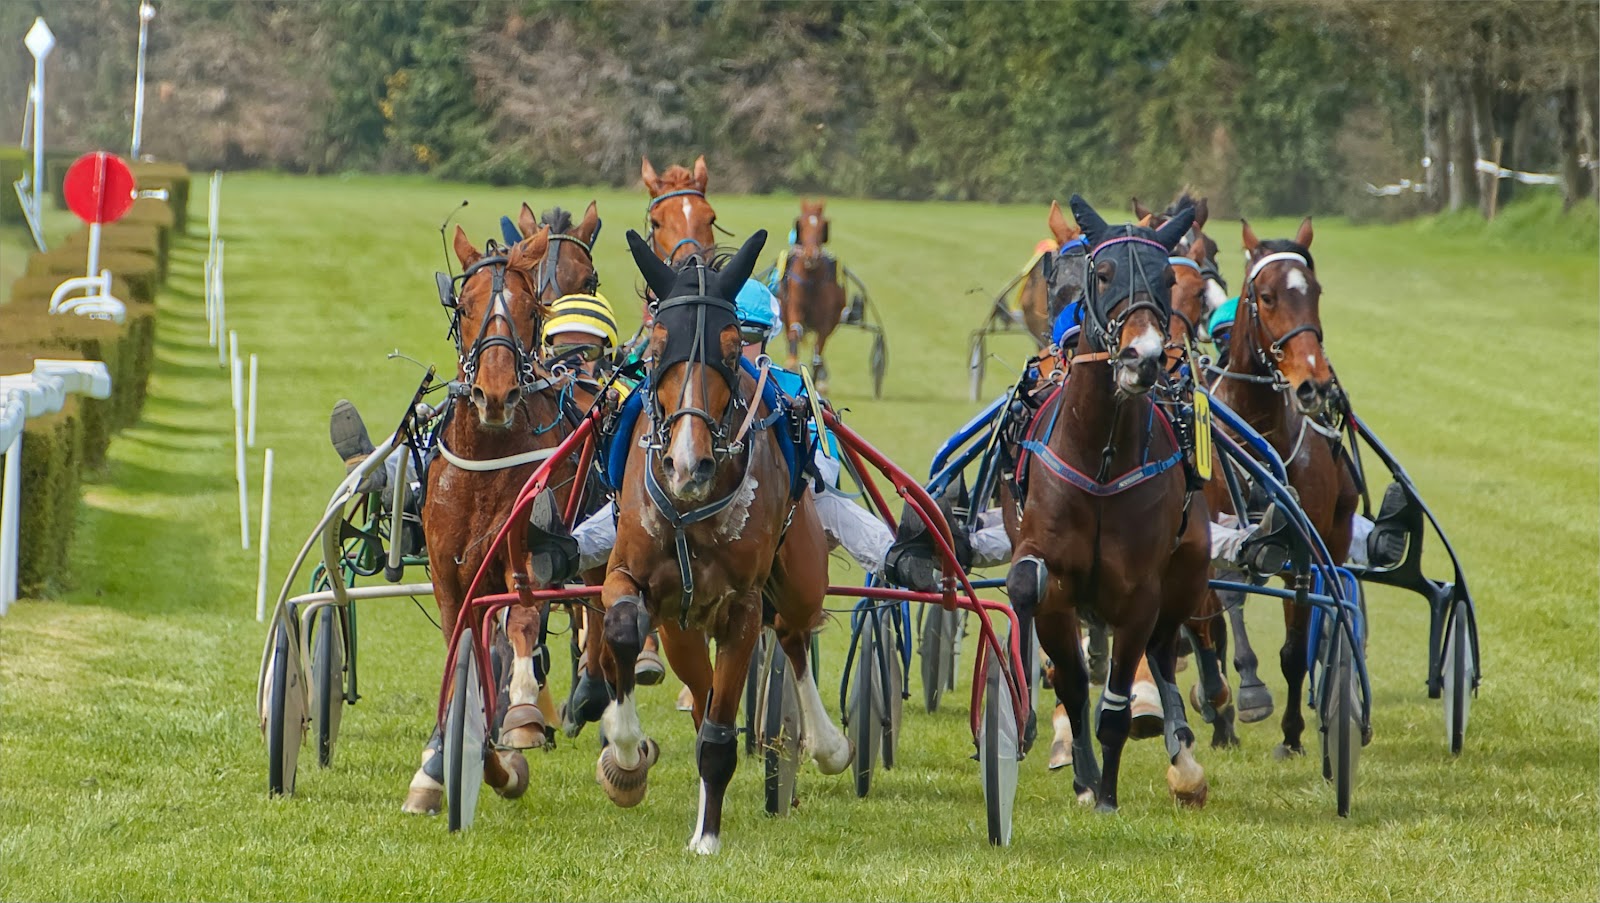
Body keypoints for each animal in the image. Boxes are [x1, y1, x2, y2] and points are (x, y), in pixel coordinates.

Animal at [400, 200, 601, 813]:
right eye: (463, 306)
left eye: (529, 307)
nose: (495, 393)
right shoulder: (450, 575)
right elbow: (460, 648)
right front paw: (440, 761)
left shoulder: (528, 551)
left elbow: (524, 621)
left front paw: (522, 719)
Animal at [595, 228, 857, 858]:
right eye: (658, 344)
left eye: (732, 345)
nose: (687, 464)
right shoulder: (633, 579)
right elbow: (621, 627)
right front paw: (625, 753)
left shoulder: (741, 604)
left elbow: (719, 734)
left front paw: (707, 838)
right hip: (682, 625)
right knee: (703, 687)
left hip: (799, 576)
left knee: (793, 634)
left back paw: (827, 744)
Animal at [777, 198, 851, 387]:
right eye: (801, 224)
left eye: (823, 225)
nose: (811, 255)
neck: (811, 282)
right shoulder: (794, 308)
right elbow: (795, 331)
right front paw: (791, 364)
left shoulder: (825, 322)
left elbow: (818, 355)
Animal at [998, 196, 1209, 810]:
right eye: (1104, 273)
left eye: (1168, 278)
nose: (1143, 357)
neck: (1100, 456)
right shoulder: (1051, 570)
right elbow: (1058, 656)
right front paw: (1084, 776)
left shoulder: (1140, 588)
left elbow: (1117, 698)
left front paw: (1109, 792)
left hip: (1190, 566)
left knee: (1164, 648)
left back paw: (1182, 753)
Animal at [1203, 216, 1356, 755]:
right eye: (1266, 296)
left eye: (1315, 291)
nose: (1314, 383)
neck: (1259, 429)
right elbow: (1224, 610)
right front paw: (1244, 696)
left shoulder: (1304, 548)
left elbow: (1295, 644)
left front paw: (1291, 734)